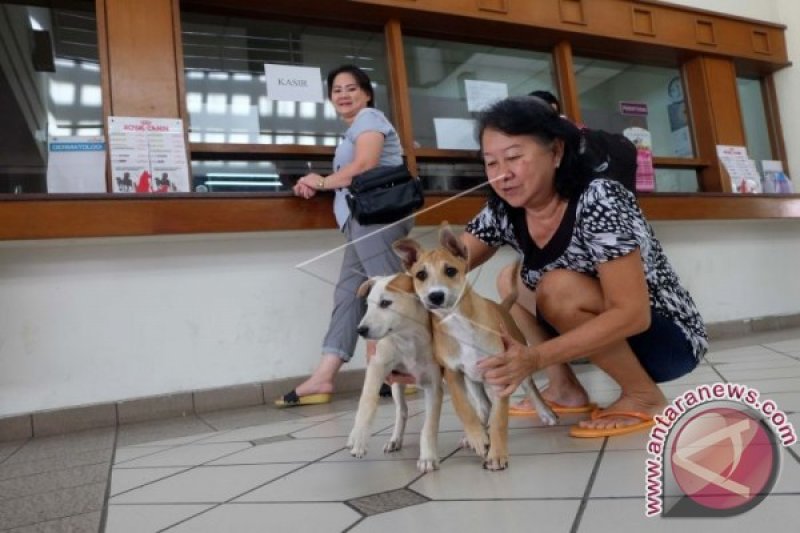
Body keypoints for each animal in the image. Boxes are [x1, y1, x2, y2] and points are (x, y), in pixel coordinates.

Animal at [346, 272, 444, 472]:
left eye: (385, 303)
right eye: (367, 304)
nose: (360, 330)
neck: (408, 338)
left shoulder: (434, 385)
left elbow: (429, 425)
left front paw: (428, 456)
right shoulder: (377, 365)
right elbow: (367, 401)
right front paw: (359, 438)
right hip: (396, 385)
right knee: (402, 410)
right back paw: (393, 440)